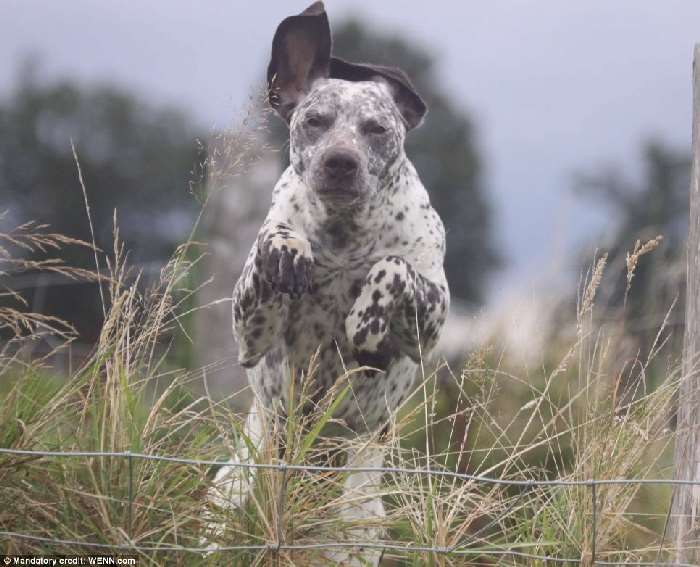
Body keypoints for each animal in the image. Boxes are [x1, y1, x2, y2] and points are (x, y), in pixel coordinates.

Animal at [208, 3, 448, 564]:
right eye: (315, 121)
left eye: (376, 128)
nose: (341, 161)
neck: (344, 234)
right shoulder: (248, 335)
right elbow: (274, 239)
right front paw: (290, 250)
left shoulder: (430, 318)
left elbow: (393, 268)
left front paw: (365, 318)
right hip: (231, 494)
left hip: (356, 519)